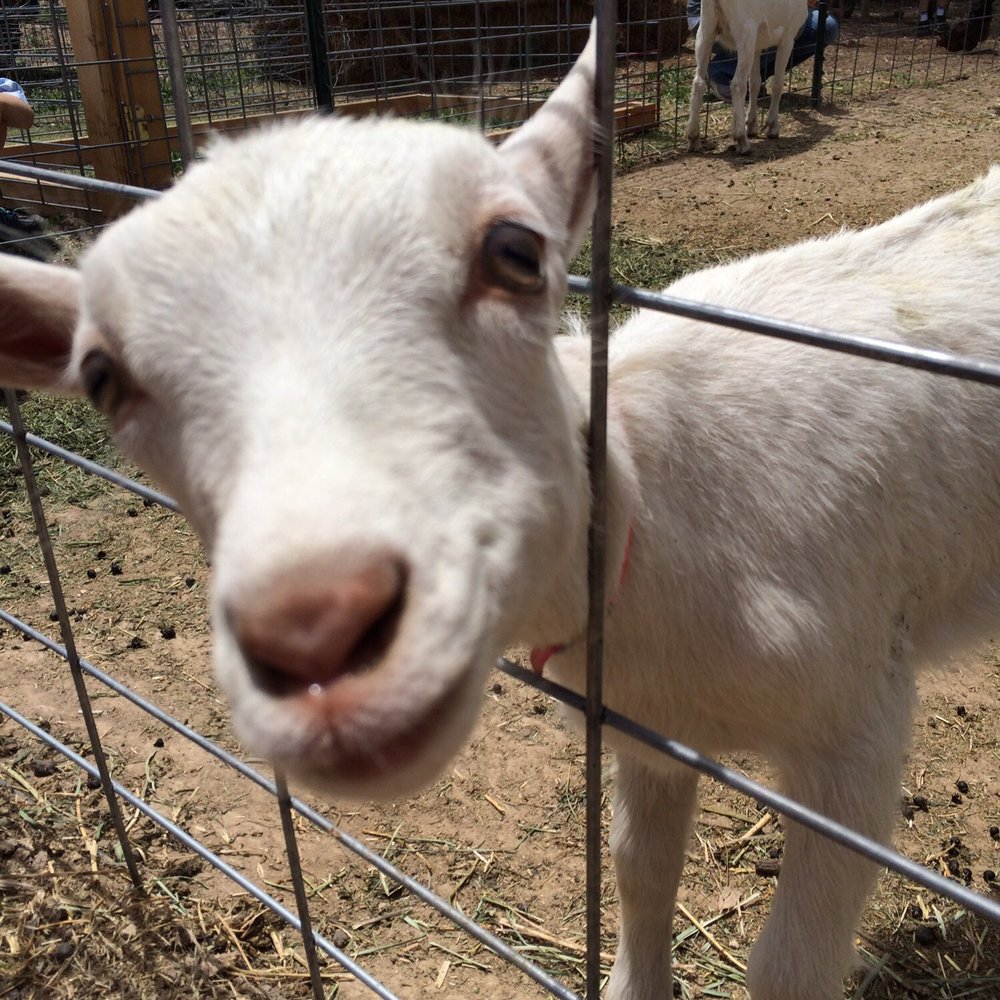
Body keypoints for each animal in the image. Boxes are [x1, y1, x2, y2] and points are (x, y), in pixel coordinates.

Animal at [3, 28, 1000, 1000]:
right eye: (101, 376)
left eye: (517, 252)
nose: (316, 634)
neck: (656, 521)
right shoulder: (646, 721)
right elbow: (639, 871)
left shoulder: (856, 732)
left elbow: (786, 966)